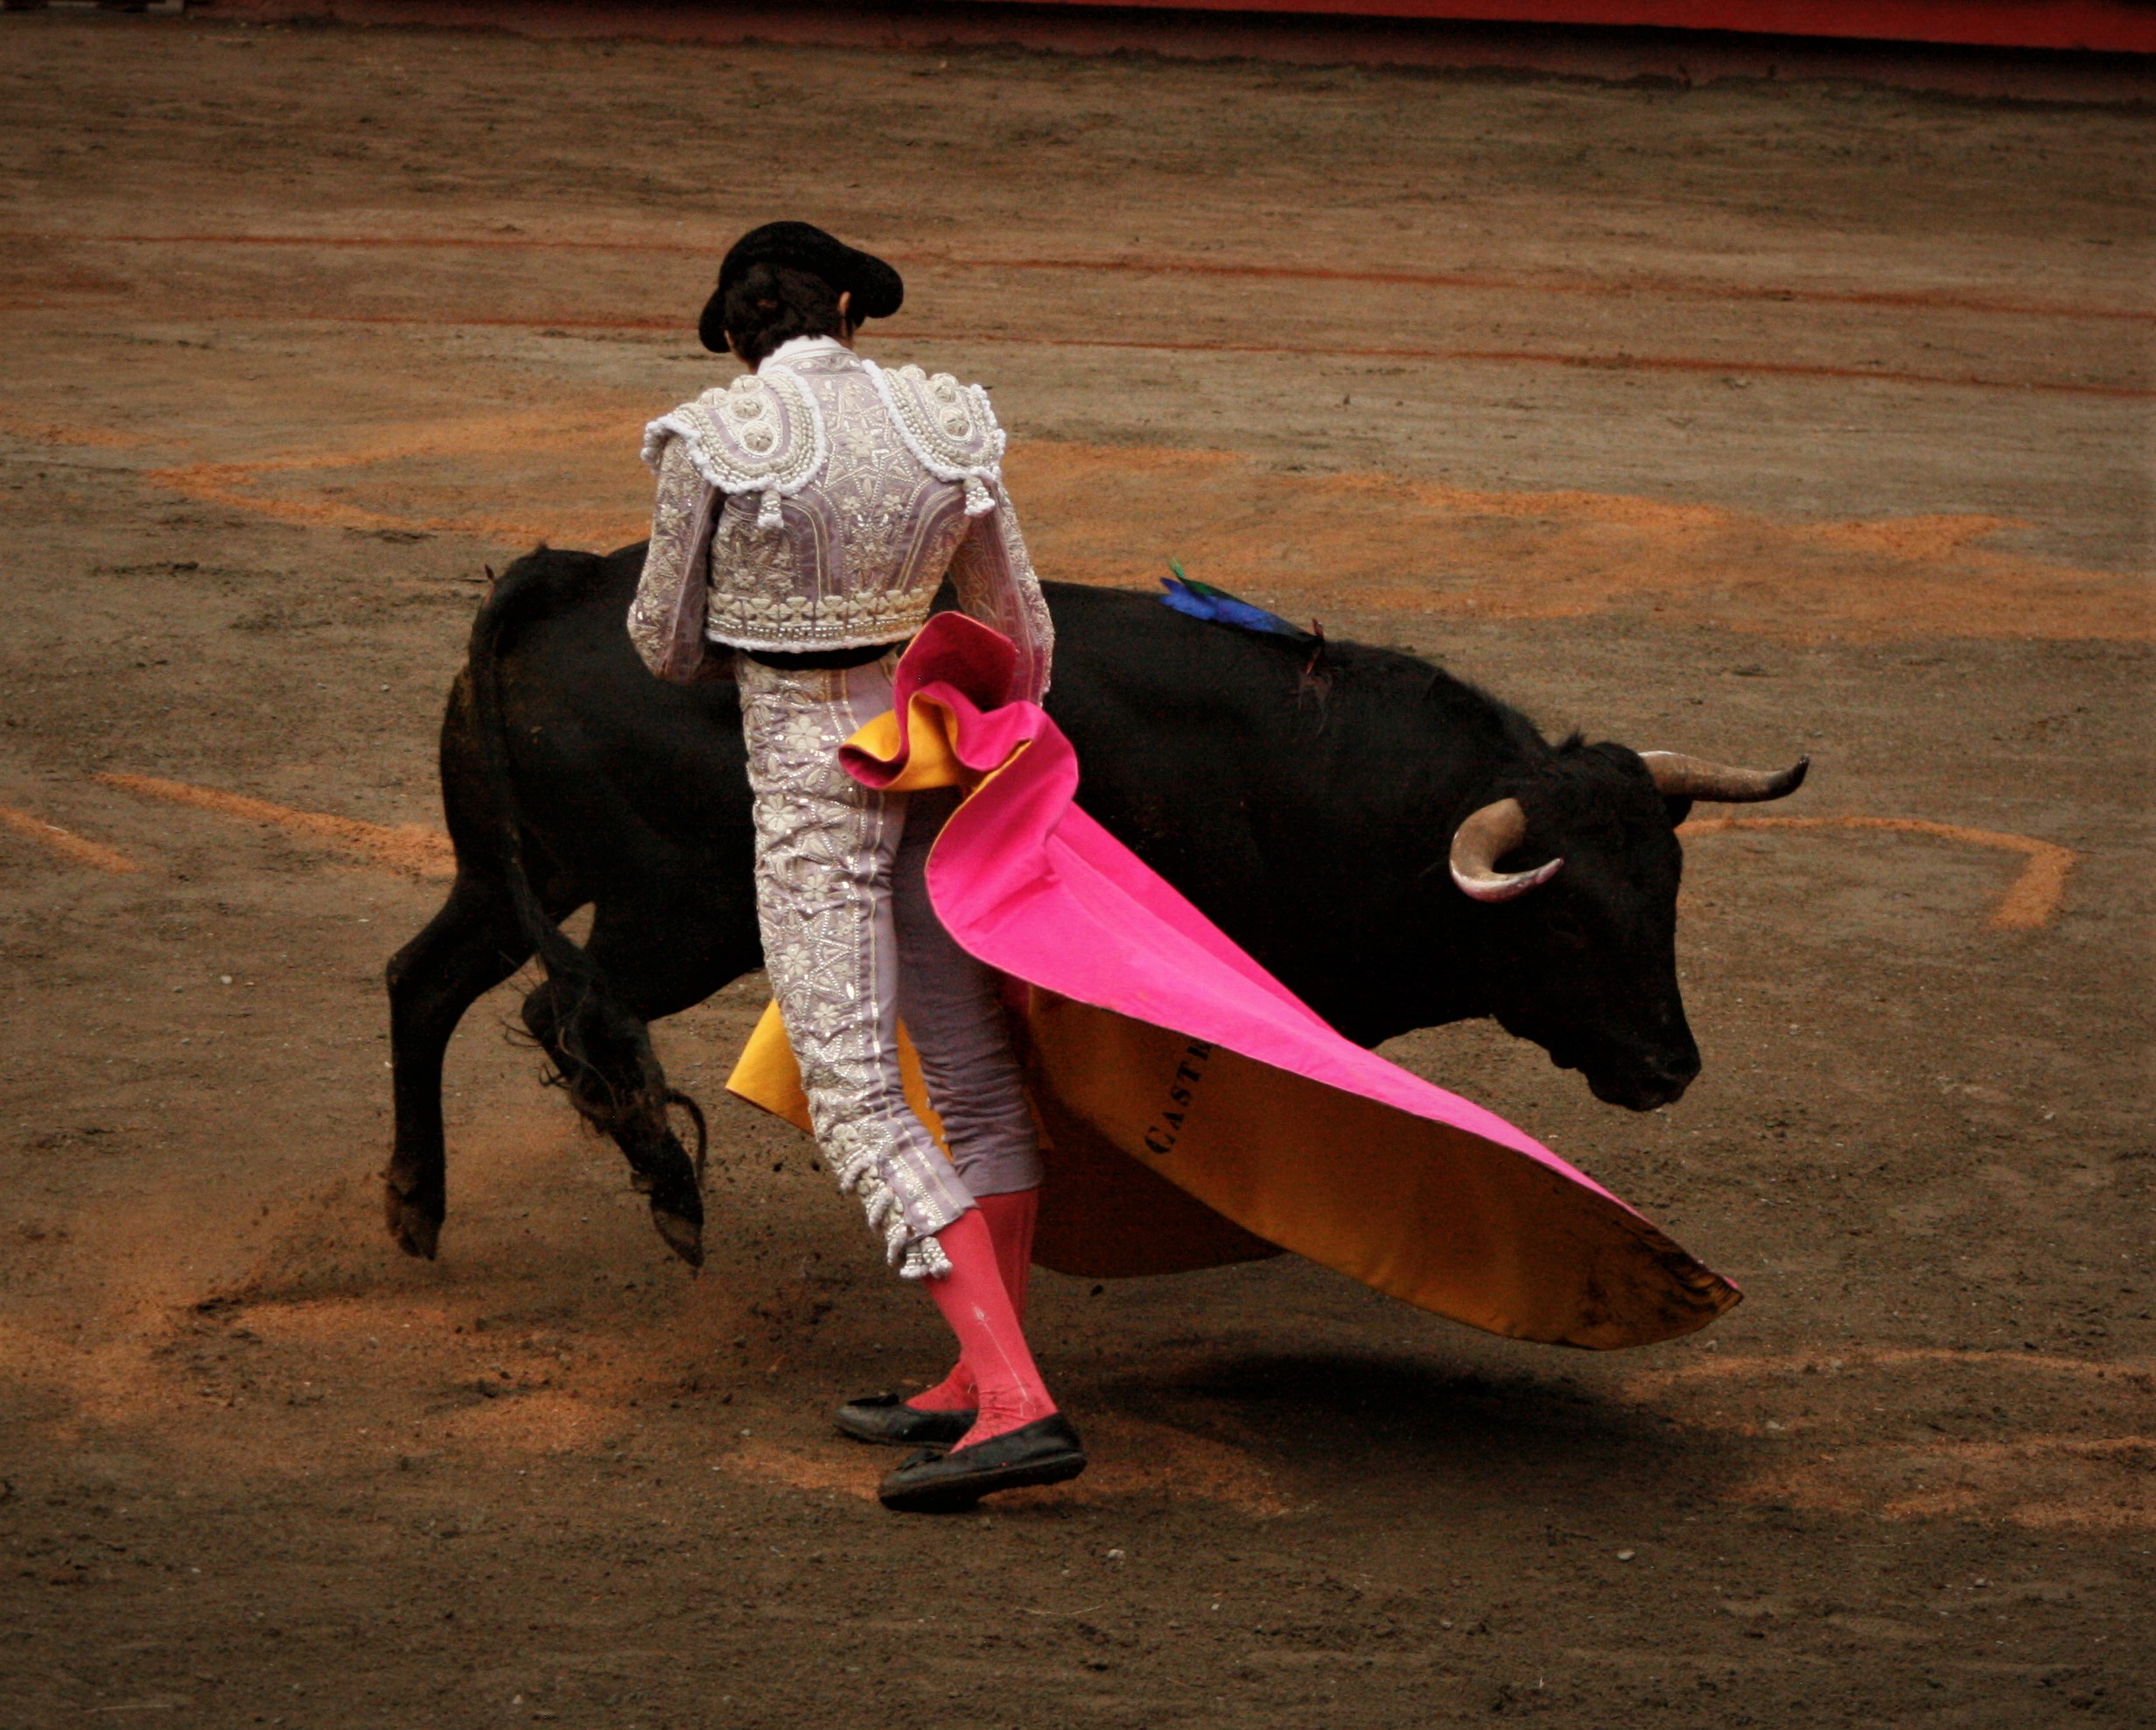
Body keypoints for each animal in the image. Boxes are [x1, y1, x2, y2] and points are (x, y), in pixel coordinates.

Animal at [384, 542, 1806, 1268]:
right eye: (1562, 920)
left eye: (1667, 893)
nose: (1670, 1066)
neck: (1358, 790)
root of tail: (568, 579)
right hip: (682, 909)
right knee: (572, 1017)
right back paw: (673, 1195)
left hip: (513, 877)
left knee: (426, 981)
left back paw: (418, 1206)